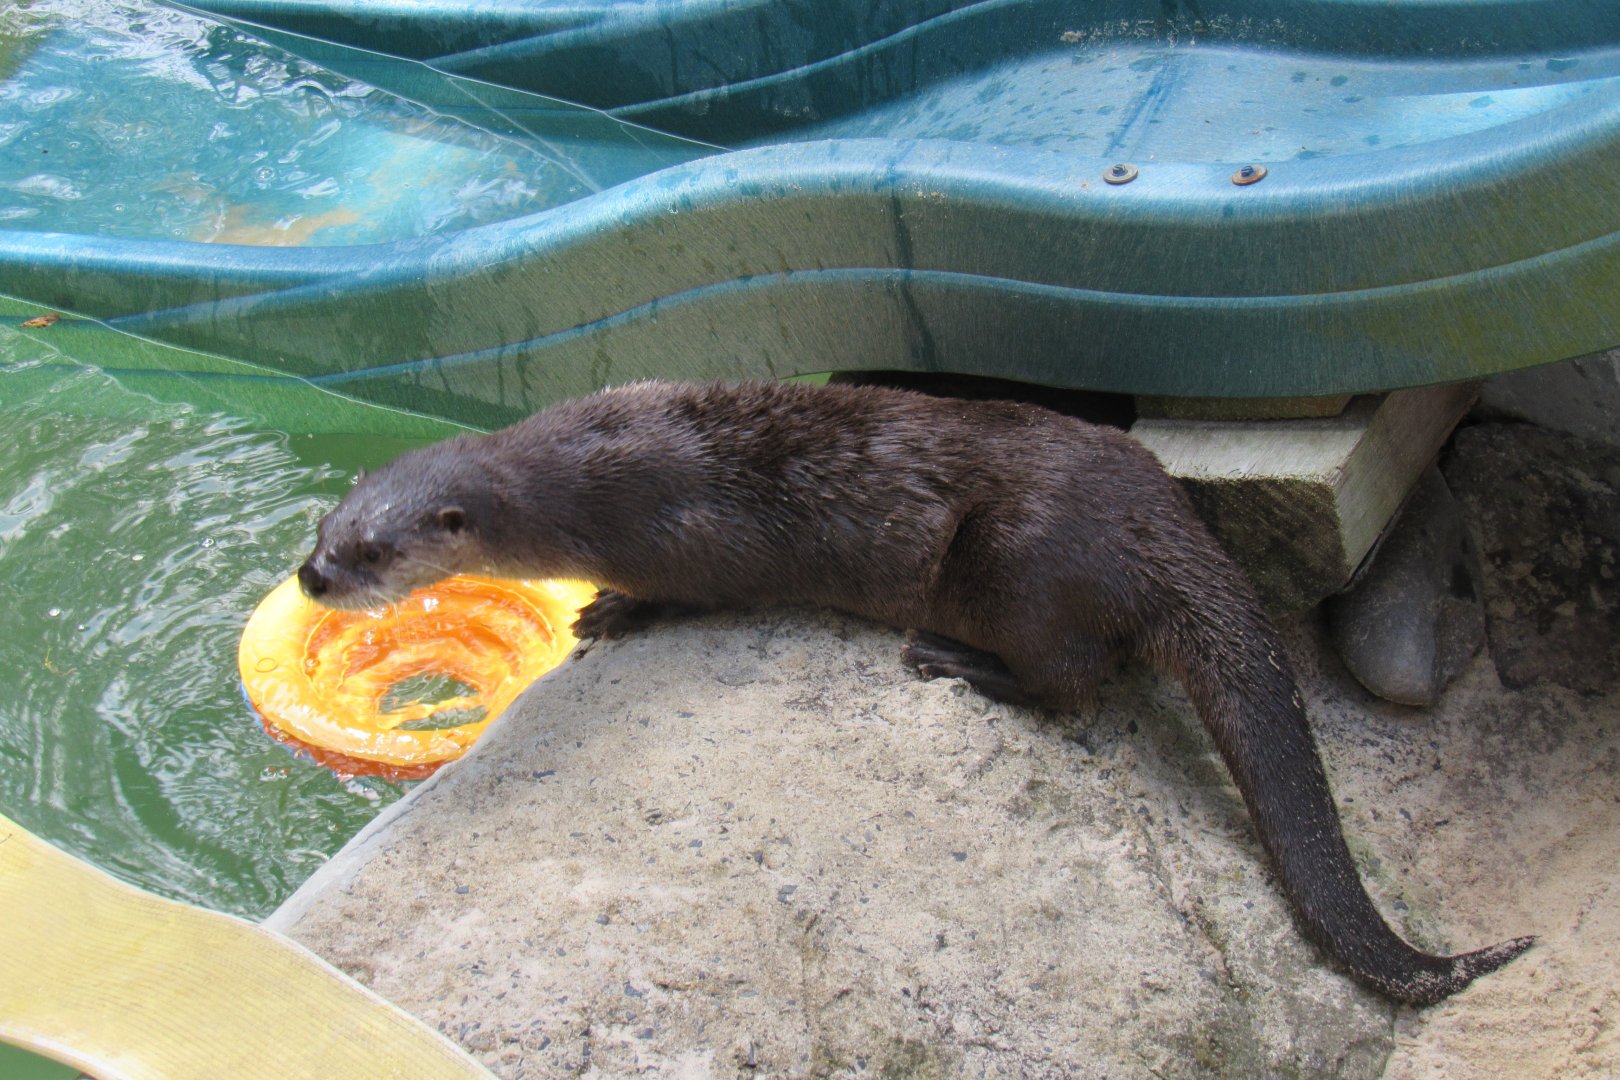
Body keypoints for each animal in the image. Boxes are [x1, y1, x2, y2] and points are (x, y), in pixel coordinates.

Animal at [298, 379, 1531, 1004]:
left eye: (372, 550)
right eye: (325, 529)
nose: (311, 576)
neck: (577, 473)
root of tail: (1166, 527)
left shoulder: (682, 533)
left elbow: (685, 594)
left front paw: (609, 616)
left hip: (1021, 562)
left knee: (1074, 686)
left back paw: (953, 662)